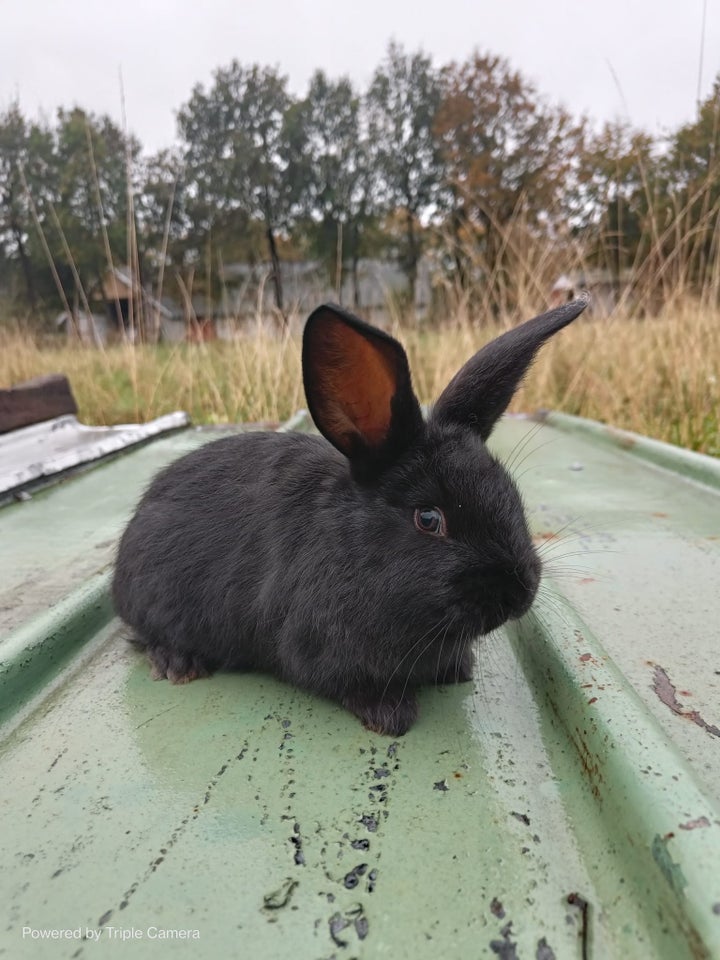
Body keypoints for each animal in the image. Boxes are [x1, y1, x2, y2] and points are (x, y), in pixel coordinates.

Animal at [111, 298, 584, 736]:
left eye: (509, 491)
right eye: (429, 519)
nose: (521, 592)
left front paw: (458, 669)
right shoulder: (317, 648)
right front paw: (392, 715)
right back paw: (178, 663)